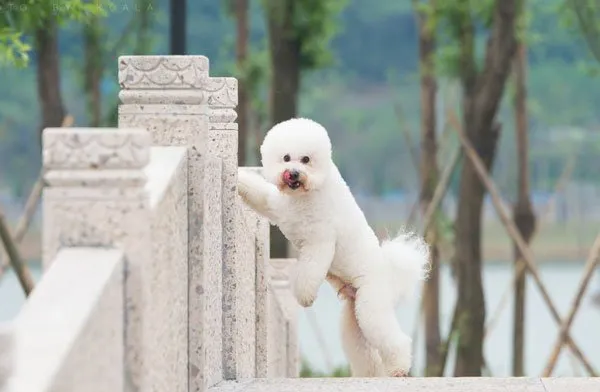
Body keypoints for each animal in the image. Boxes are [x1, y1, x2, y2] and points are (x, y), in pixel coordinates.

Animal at [237, 117, 428, 376]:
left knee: (392, 338)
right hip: (354, 318)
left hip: (371, 304)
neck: (306, 194)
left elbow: (310, 271)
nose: (294, 174)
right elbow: (258, 194)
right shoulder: (274, 204)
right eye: (286, 157)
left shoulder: (320, 242)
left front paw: (305, 297)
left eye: (306, 159)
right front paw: (237, 179)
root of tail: (389, 274)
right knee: (364, 352)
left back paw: (398, 368)